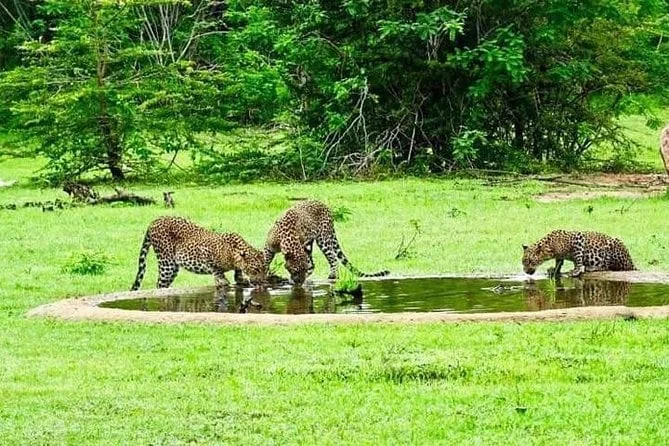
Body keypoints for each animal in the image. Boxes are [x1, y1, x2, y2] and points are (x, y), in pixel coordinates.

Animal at [130, 215, 266, 290]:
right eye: (256, 269)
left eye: (264, 269)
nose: (263, 282)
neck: (232, 255)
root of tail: (154, 221)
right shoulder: (205, 252)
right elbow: (217, 270)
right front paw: (223, 280)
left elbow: (237, 271)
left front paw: (240, 278)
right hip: (167, 264)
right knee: (159, 284)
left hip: (173, 267)